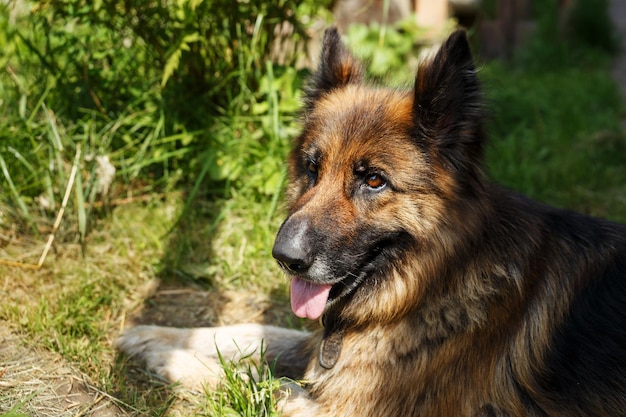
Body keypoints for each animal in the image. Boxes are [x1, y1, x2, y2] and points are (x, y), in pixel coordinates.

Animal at [117, 29, 624, 416]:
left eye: (374, 181)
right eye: (312, 168)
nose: (284, 258)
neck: (433, 282)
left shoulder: (344, 405)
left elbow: (251, 379)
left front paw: (171, 363)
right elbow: (254, 333)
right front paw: (158, 338)